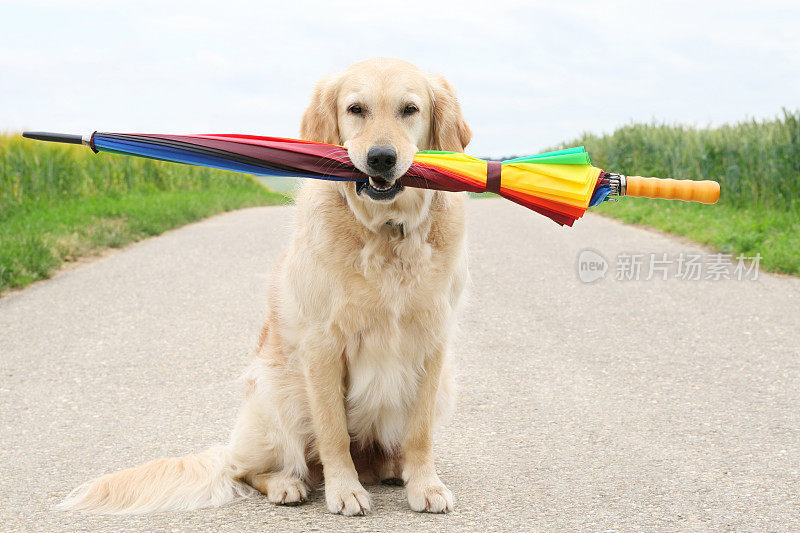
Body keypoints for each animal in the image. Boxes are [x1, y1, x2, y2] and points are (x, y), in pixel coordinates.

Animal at [59, 57, 472, 516]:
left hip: (445, 385)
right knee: (249, 469)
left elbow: (420, 432)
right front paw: (344, 491)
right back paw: (287, 484)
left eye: (409, 109)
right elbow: (333, 431)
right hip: (278, 394)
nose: (381, 158)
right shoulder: (322, 345)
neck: (385, 232)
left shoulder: (433, 343)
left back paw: (391, 468)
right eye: (356, 109)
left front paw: (425, 485)